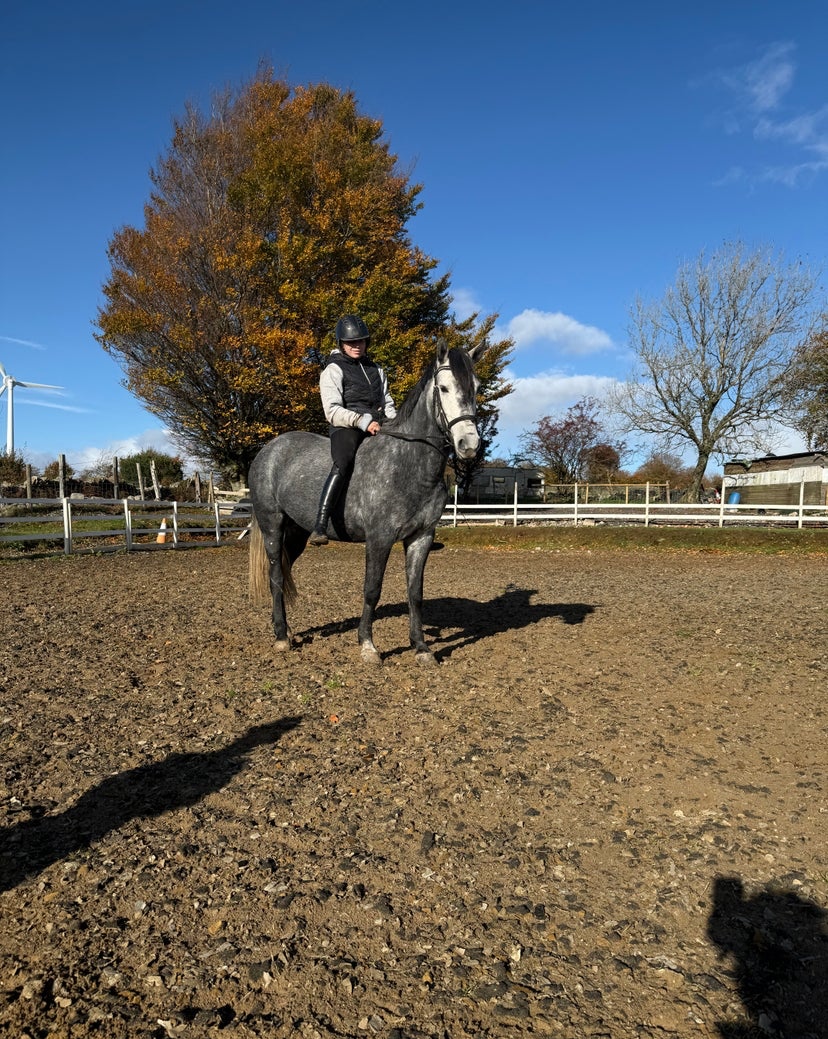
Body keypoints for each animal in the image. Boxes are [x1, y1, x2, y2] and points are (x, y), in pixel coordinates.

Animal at [248, 339, 488, 665]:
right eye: (444, 388)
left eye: (476, 386)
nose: (469, 445)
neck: (408, 462)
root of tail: (268, 450)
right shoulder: (379, 538)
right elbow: (372, 589)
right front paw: (368, 646)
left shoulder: (421, 537)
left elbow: (415, 592)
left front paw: (421, 648)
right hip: (272, 526)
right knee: (274, 575)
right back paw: (282, 637)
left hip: (296, 533)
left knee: (284, 573)